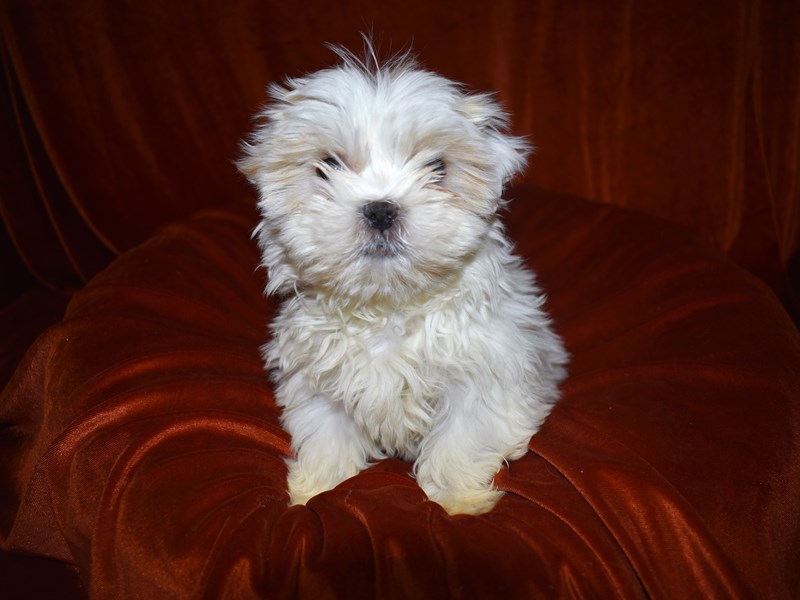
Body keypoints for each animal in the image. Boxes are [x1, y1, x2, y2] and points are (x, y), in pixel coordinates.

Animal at [239, 42, 568, 516]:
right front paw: (316, 491)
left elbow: (460, 442)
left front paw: (457, 503)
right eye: (327, 165)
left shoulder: (483, 381)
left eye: (437, 167)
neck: (388, 307)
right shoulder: (319, 384)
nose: (380, 209)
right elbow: (326, 438)